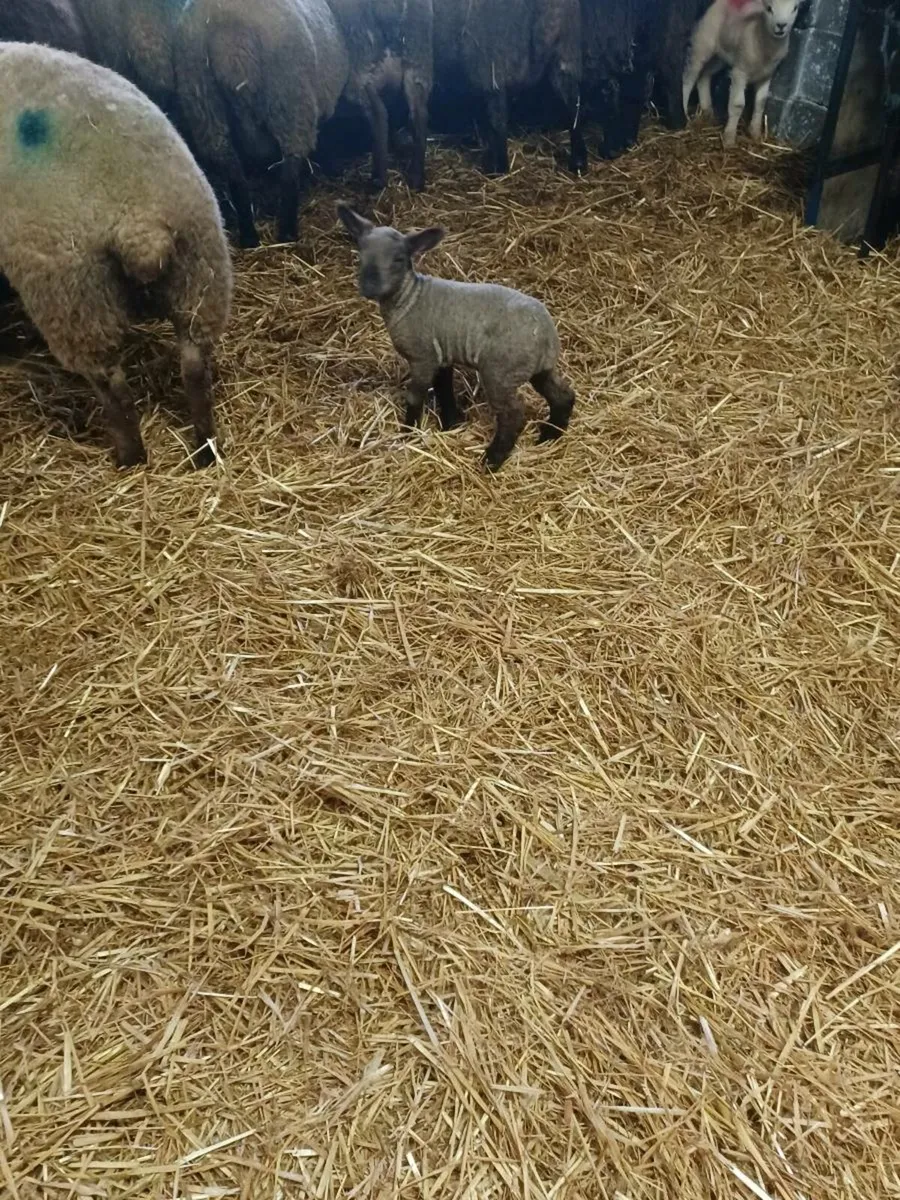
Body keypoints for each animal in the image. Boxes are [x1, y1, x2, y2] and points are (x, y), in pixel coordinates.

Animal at [0, 42, 232, 468]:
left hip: (73, 293)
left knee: (112, 384)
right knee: (194, 364)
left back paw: (130, 456)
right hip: (200, 264)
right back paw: (205, 448)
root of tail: (139, 218)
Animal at [326, 0, 433, 192]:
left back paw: (378, 180)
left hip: (362, 65)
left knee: (378, 115)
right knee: (419, 115)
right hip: (417, 61)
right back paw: (416, 177)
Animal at [336, 203, 575, 470]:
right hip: (538, 369)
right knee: (563, 396)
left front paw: (409, 433)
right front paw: (451, 423)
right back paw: (550, 435)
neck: (409, 297)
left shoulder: (422, 357)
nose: (369, 287)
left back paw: (491, 460)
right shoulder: (442, 354)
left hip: (500, 372)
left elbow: (415, 397)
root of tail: (546, 333)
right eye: (361, 253)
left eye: (398, 259)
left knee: (513, 414)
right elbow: (444, 390)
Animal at [432, 0, 586, 176]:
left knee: (497, 117)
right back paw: (578, 161)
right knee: (573, 105)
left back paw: (498, 168)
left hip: (491, 59)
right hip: (565, 49)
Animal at [682, 0, 801, 145]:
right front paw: (729, 139)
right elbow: (738, 104)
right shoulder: (740, 71)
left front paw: (755, 133)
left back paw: (708, 111)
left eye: (794, 8)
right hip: (703, 42)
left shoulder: (766, 75)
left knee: (704, 75)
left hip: (721, 56)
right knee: (689, 77)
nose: (781, 25)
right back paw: (685, 113)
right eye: (769, 8)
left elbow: (761, 102)